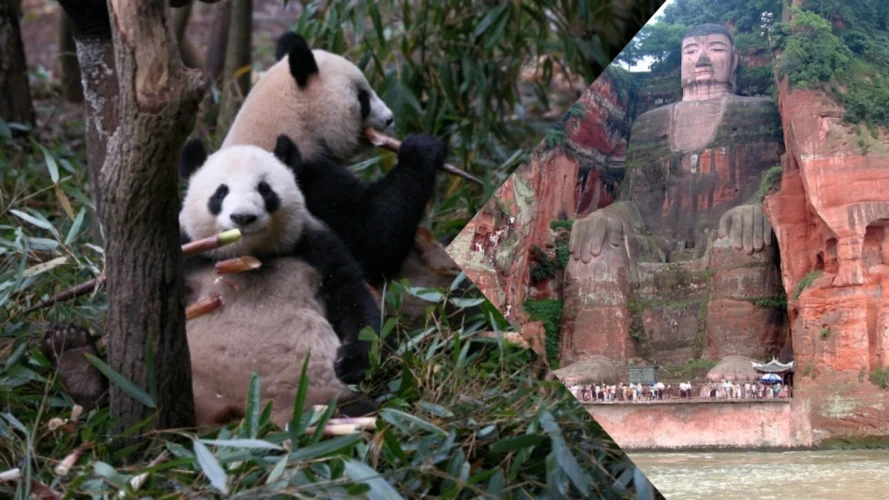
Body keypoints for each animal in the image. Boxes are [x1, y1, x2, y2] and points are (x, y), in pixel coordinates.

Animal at [176, 134, 382, 427]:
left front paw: (351, 363)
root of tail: (238, 410)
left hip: (310, 389)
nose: (243, 217)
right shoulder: (187, 253)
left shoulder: (314, 246)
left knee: (346, 407)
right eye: (221, 192)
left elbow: (352, 298)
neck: (247, 256)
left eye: (265, 189)